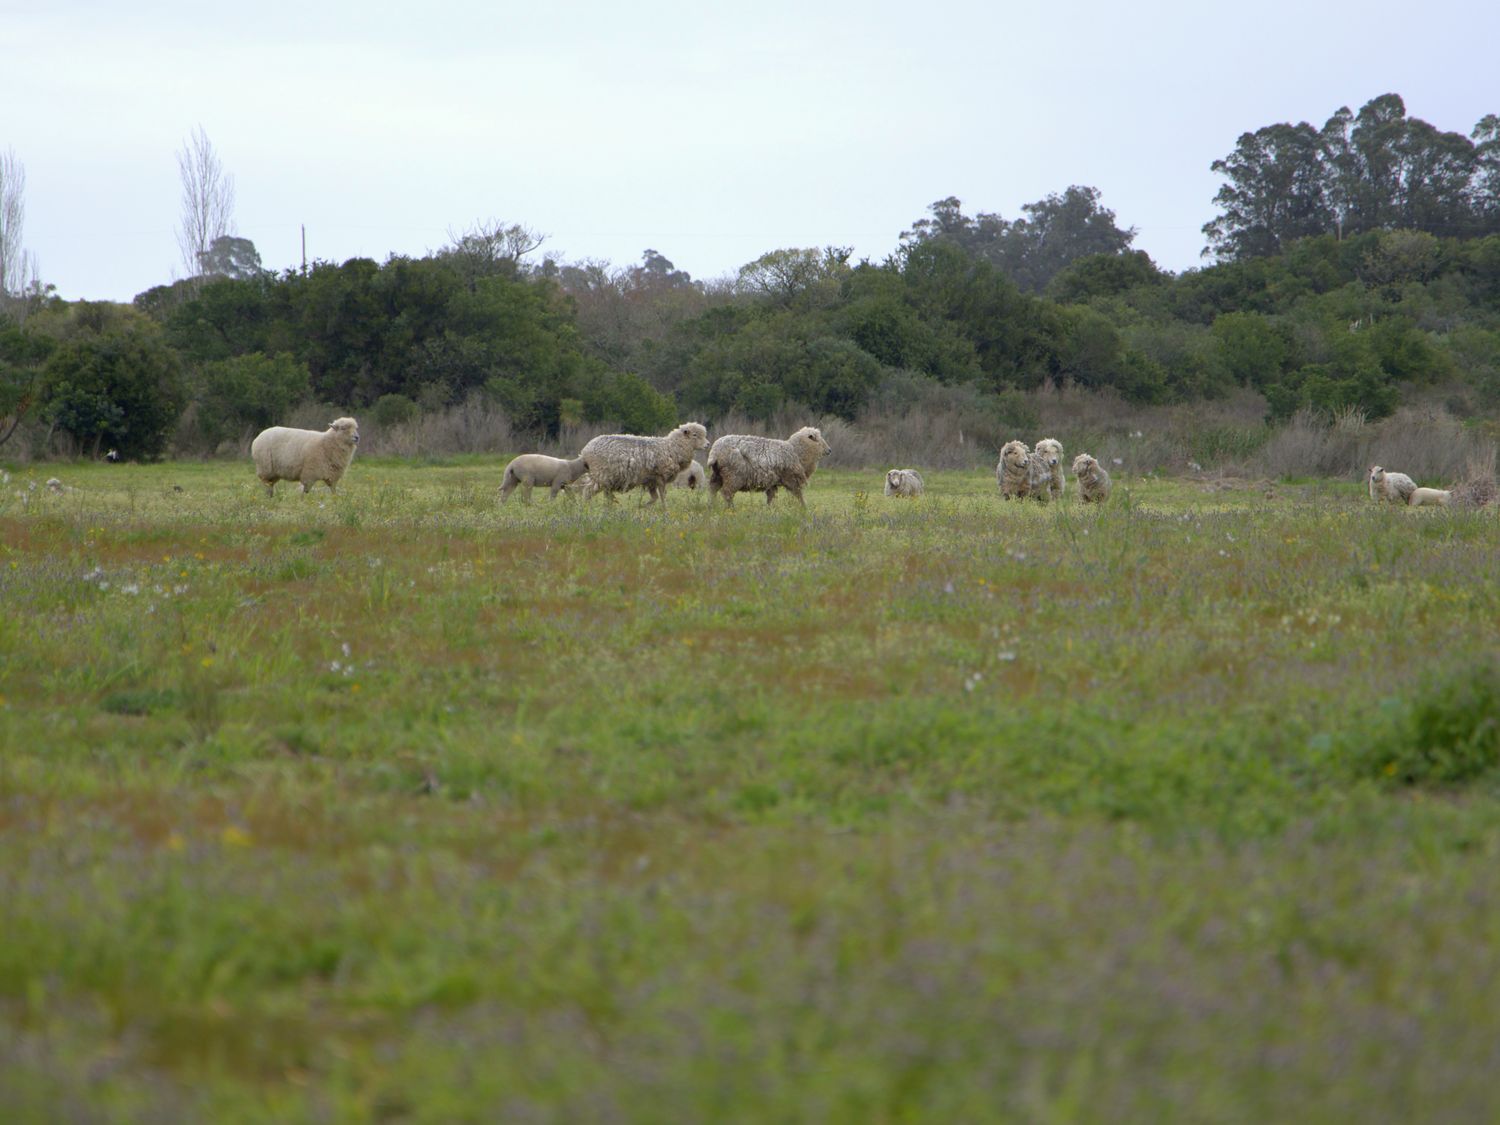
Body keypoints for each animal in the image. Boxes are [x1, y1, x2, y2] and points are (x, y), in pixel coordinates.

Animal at [579, 422, 708, 506]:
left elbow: (655, 497)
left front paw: (643, 507)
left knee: (599, 492)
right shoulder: (660, 477)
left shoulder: (651, 480)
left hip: (603, 477)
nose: (708, 444)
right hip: (601, 475)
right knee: (588, 491)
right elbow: (662, 496)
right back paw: (587, 507)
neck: (672, 448)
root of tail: (585, 451)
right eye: (695, 435)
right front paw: (665, 509)